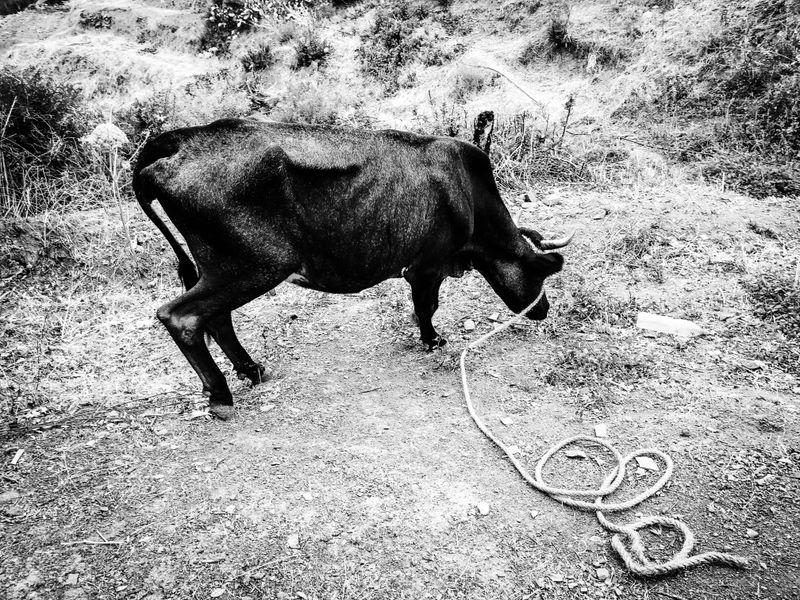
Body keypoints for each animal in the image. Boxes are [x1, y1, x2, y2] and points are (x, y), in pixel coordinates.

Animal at [133, 118, 572, 420]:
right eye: (539, 275)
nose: (544, 310)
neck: (467, 193)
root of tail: (180, 139)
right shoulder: (426, 267)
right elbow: (426, 308)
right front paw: (432, 340)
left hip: (217, 266)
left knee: (216, 317)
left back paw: (250, 369)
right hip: (253, 265)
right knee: (182, 315)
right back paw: (221, 395)